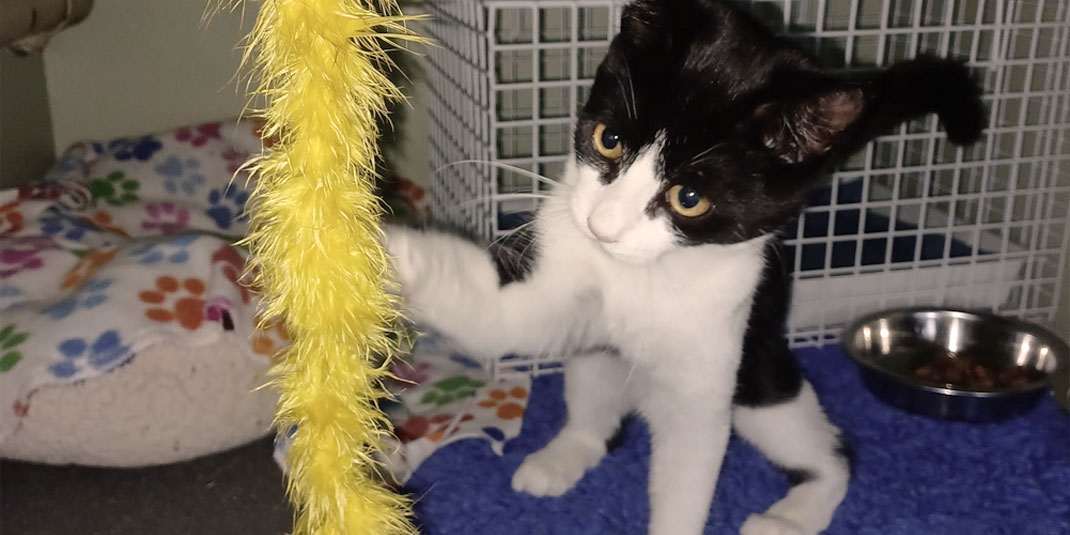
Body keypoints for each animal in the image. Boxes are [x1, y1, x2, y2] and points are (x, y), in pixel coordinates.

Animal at [387, 2, 984, 532]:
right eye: (609, 140)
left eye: (690, 198)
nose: (602, 226)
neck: (645, 276)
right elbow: (507, 319)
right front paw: (390, 248)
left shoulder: (719, 331)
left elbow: (690, 459)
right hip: (597, 356)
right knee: (596, 400)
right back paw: (564, 456)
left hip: (760, 376)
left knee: (824, 446)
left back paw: (792, 516)